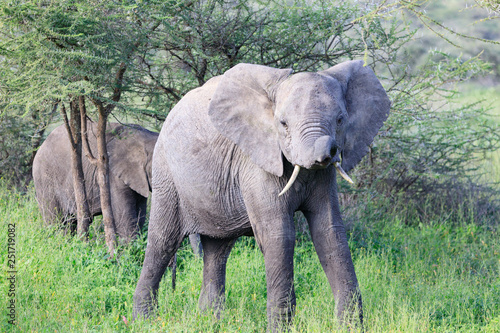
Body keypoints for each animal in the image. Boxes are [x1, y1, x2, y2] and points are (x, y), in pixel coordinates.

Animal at [133, 60, 390, 330]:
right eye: (283, 124)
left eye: (340, 120)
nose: (327, 152)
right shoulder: (256, 162)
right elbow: (280, 235)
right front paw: (281, 329)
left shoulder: (323, 177)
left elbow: (329, 232)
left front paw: (350, 328)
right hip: (166, 173)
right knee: (163, 241)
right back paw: (145, 322)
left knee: (217, 250)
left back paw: (209, 322)